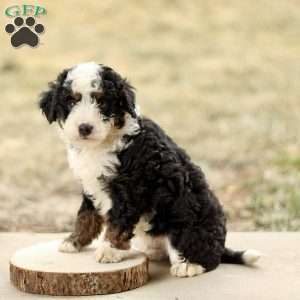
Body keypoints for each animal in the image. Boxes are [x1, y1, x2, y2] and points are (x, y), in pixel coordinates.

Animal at [39, 62, 260, 278]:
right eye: (70, 101)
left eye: (102, 102)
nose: (84, 128)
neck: (103, 143)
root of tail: (220, 246)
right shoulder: (91, 184)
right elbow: (86, 215)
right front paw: (73, 241)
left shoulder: (130, 188)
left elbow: (117, 222)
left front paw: (109, 250)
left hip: (185, 220)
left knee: (206, 256)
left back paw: (190, 265)